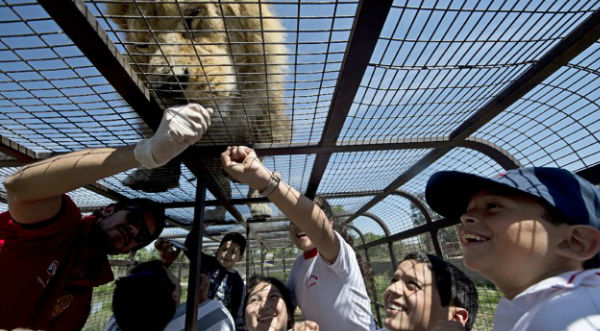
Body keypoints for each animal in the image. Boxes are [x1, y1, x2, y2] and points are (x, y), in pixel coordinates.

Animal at [108, 1, 290, 222]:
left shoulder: (266, 125)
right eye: (142, 45)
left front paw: (258, 198)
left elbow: (258, 159)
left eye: (193, 14)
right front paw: (154, 176)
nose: (168, 86)